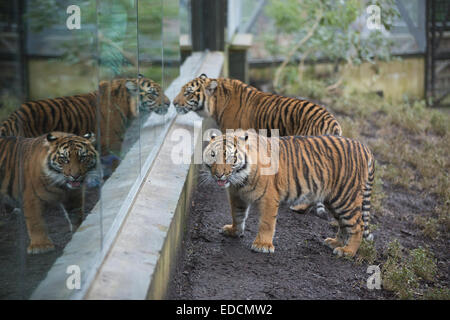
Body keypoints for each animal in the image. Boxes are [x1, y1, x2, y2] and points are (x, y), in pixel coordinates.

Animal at [202, 130, 374, 258]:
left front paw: (262, 245)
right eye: (213, 155)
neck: (239, 180)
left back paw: (347, 251)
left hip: (345, 198)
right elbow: (237, 215)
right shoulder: (237, 196)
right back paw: (335, 243)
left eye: (230, 157)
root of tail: (364, 147)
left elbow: (266, 223)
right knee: (344, 225)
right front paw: (234, 231)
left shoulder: (269, 197)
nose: (218, 175)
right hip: (333, 200)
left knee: (357, 226)